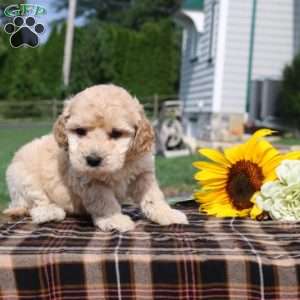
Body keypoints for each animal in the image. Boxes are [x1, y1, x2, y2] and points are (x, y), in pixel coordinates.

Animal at [3, 84, 188, 232]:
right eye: (80, 131)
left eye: (116, 133)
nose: (92, 160)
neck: (122, 164)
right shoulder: (90, 181)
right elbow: (104, 201)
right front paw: (114, 219)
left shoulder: (143, 173)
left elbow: (153, 196)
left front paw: (167, 214)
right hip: (22, 178)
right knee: (36, 204)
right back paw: (50, 212)